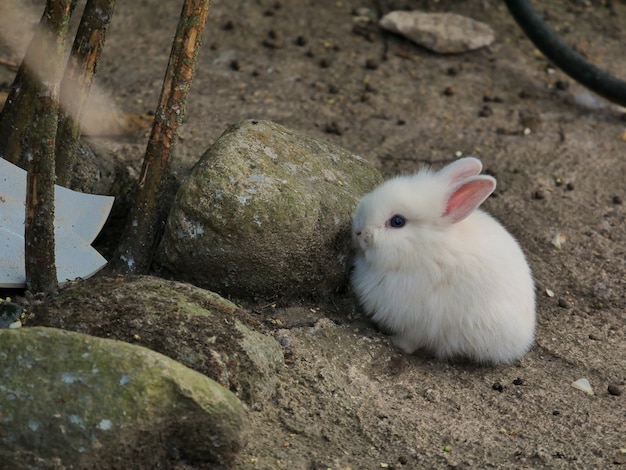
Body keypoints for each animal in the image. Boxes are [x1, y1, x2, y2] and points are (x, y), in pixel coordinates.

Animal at [348, 157, 532, 364]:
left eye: (397, 221)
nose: (358, 231)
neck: (424, 249)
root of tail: (525, 337)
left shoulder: (421, 319)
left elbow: (411, 340)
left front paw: (396, 343)